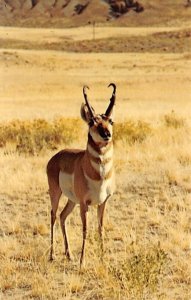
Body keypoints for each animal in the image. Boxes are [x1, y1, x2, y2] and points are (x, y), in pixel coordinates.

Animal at [47, 83, 115, 266]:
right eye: (92, 121)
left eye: (110, 121)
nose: (107, 135)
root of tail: (55, 157)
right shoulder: (85, 204)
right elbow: (85, 229)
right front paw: (82, 261)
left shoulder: (103, 202)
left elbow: (100, 228)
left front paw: (103, 257)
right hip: (56, 194)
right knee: (53, 216)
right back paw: (52, 255)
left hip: (72, 200)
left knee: (62, 216)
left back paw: (69, 254)